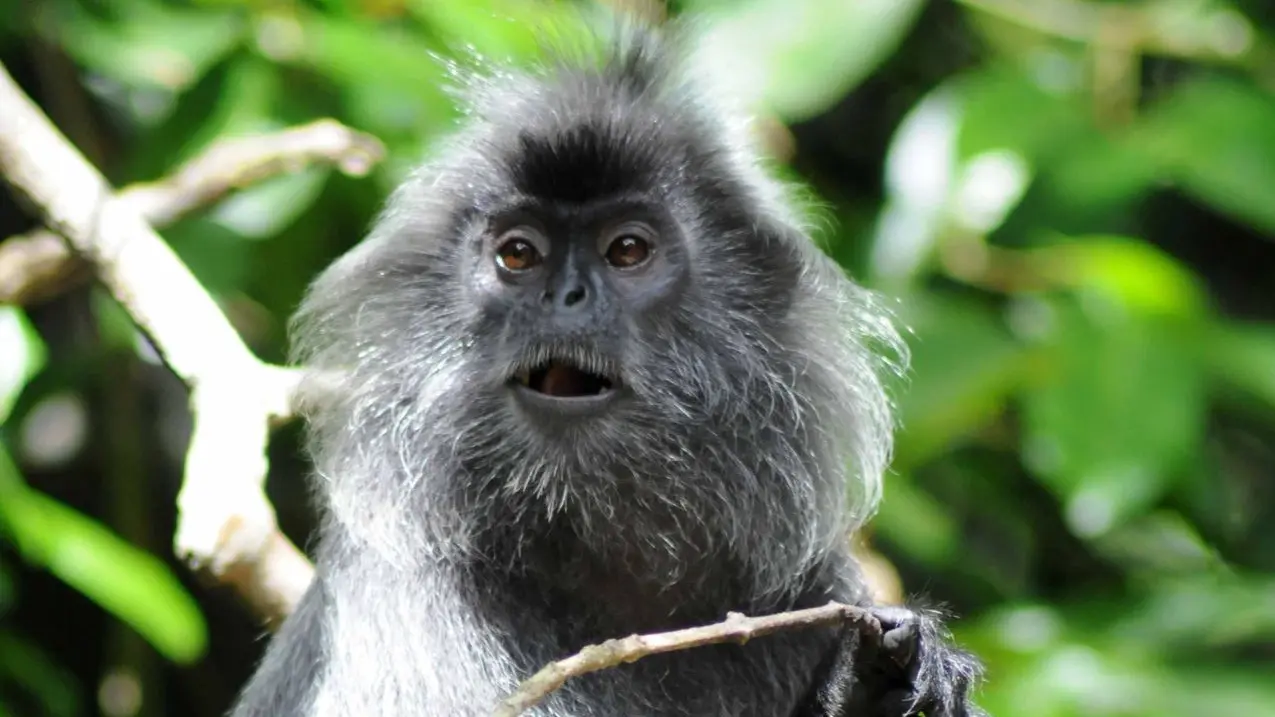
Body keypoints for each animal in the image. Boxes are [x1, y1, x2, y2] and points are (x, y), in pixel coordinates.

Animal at [229, 19, 984, 717]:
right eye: (518, 254)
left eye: (626, 250)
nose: (566, 297)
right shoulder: (406, 599)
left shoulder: (811, 587)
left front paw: (876, 685)